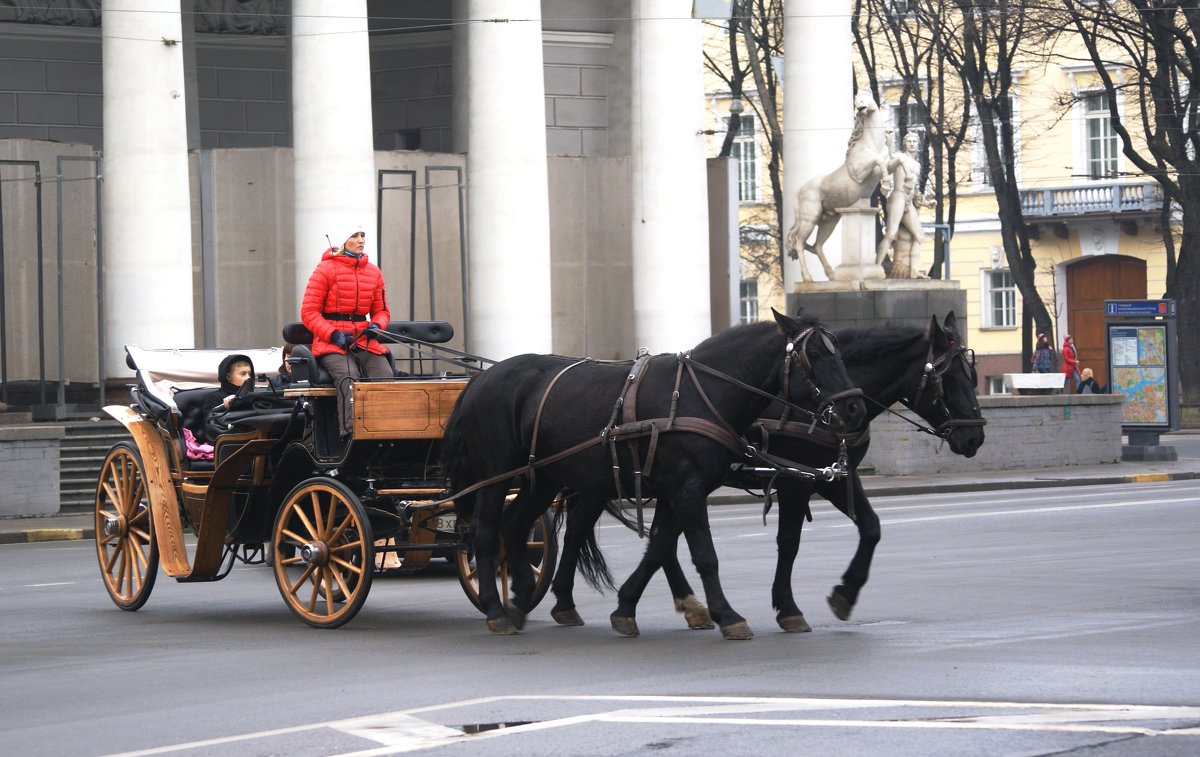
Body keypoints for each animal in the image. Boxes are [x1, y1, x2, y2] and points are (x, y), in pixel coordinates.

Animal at [441, 311, 864, 638]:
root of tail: (480, 379)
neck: (699, 392)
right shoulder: (687, 489)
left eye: (841, 353)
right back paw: (497, 610)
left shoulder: (679, 490)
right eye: (813, 354)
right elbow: (704, 554)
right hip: (496, 475)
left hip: (543, 478)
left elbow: (660, 546)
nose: (855, 408)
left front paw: (626, 608)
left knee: (514, 525)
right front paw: (727, 615)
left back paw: (522, 598)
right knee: (485, 530)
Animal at [552, 311, 984, 633]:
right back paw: (567, 600)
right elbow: (789, 543)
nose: (976, 436)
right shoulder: (798, 480)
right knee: (580, 528)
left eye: (973, 374)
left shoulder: (836, 476)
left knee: (653, 539)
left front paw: (844, 594)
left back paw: (682, 604)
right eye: (950, 377)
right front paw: (790, 607)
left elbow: (871, 527)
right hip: (609, 479)